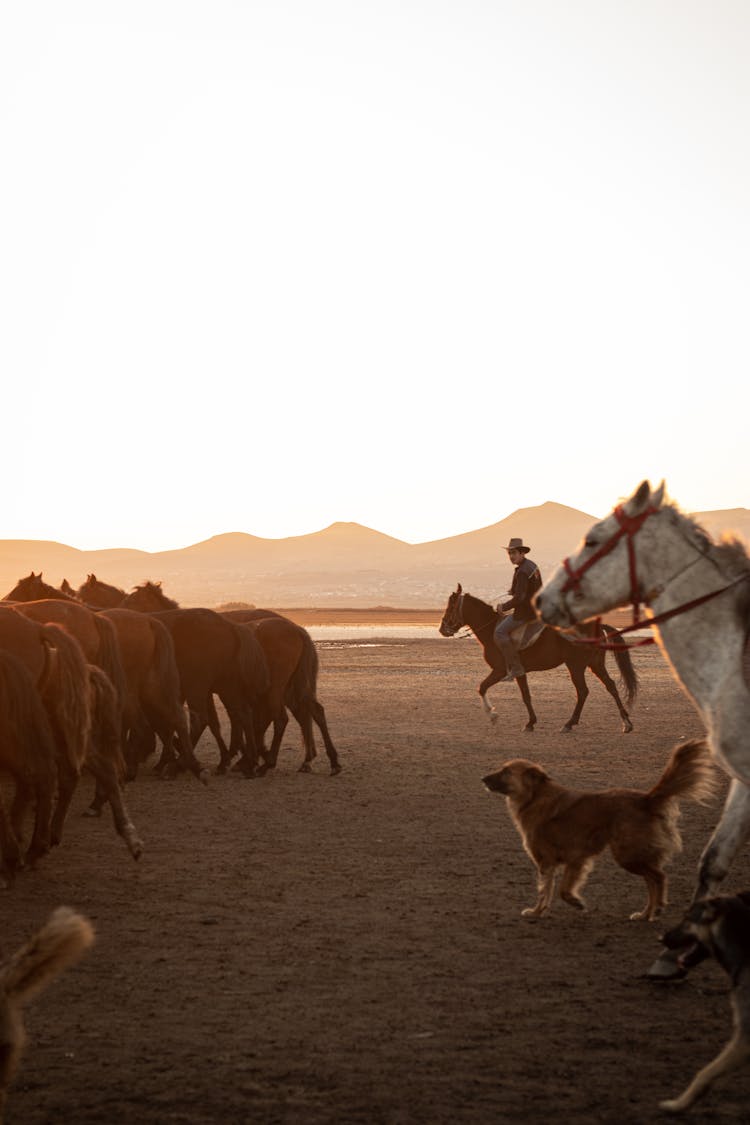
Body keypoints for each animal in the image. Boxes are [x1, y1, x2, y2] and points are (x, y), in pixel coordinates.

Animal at [440, 585, 638, 733]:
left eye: (450, 607)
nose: (442, 629)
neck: (490, 630)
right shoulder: (519, 672)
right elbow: (526, 695)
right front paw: (530, 722)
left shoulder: (500, 670)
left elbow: (482, 687)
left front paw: (493, 715)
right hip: (595, 664)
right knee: (610, 686)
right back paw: (626, 723)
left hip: (576, 666)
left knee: (583, 691)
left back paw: (569, 723)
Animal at [483, 742, 719, 918]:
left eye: (505, 771)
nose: (483, 778)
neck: (534, 797)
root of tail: (646, 799)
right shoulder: (575, 860)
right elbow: (559, 889)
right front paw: (565, 903)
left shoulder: (548, 862)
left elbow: (546, 890)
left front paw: (539, 911)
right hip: (635, 855)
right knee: (651, 880)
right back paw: (646, 914)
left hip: (628, 855)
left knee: (659, 877)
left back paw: (658, 907)